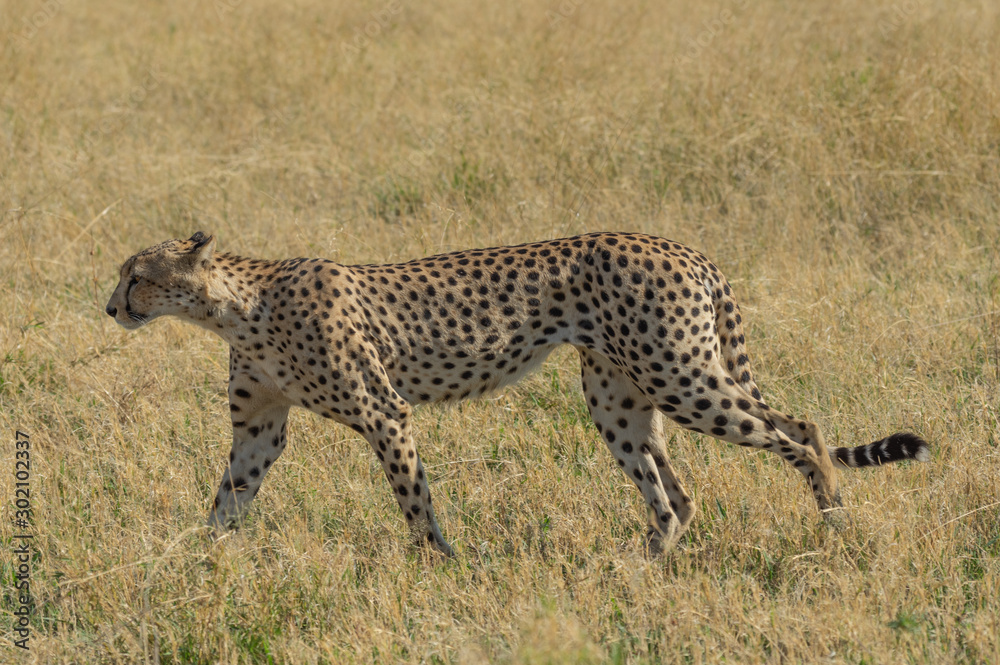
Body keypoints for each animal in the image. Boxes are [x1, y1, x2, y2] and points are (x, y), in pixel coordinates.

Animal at [105, 231, 929, 556]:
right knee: (675, 496)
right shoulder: (259, 429)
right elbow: (227, 498)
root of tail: (679, 245)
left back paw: (834, 520)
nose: (110, 306)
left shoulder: (383, 410)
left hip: (682, 376)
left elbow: (414, 499)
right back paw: (642, 568)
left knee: (803, 431)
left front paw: (440, 565)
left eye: (137, 274)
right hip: (620, 396)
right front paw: (195, 560)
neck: (237, 302)